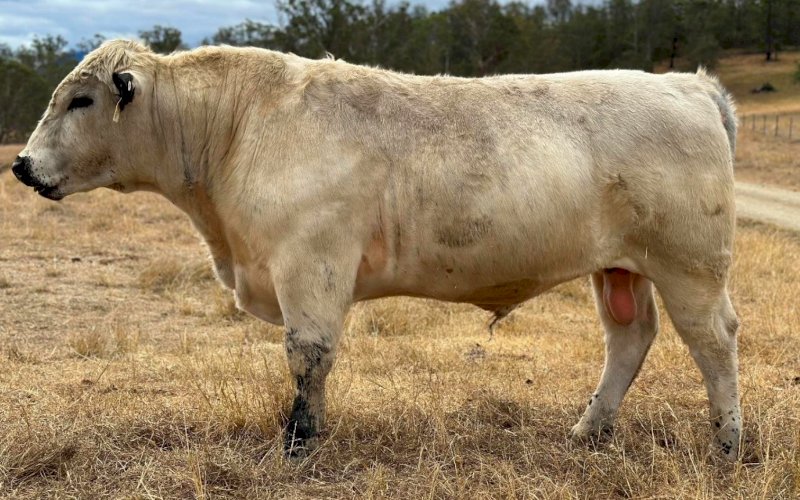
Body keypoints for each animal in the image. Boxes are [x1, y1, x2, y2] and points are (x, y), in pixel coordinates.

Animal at [12, 40, 741, 461]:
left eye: (80, 100)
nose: (20, 164)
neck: (234, 128)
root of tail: (689, 85)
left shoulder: (310, 268)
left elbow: (308, 358)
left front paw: (299, 443)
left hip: (691, 264)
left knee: (714, 342)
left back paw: (728, 441)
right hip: (621, 267)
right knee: (629, 338)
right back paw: (589, 431)